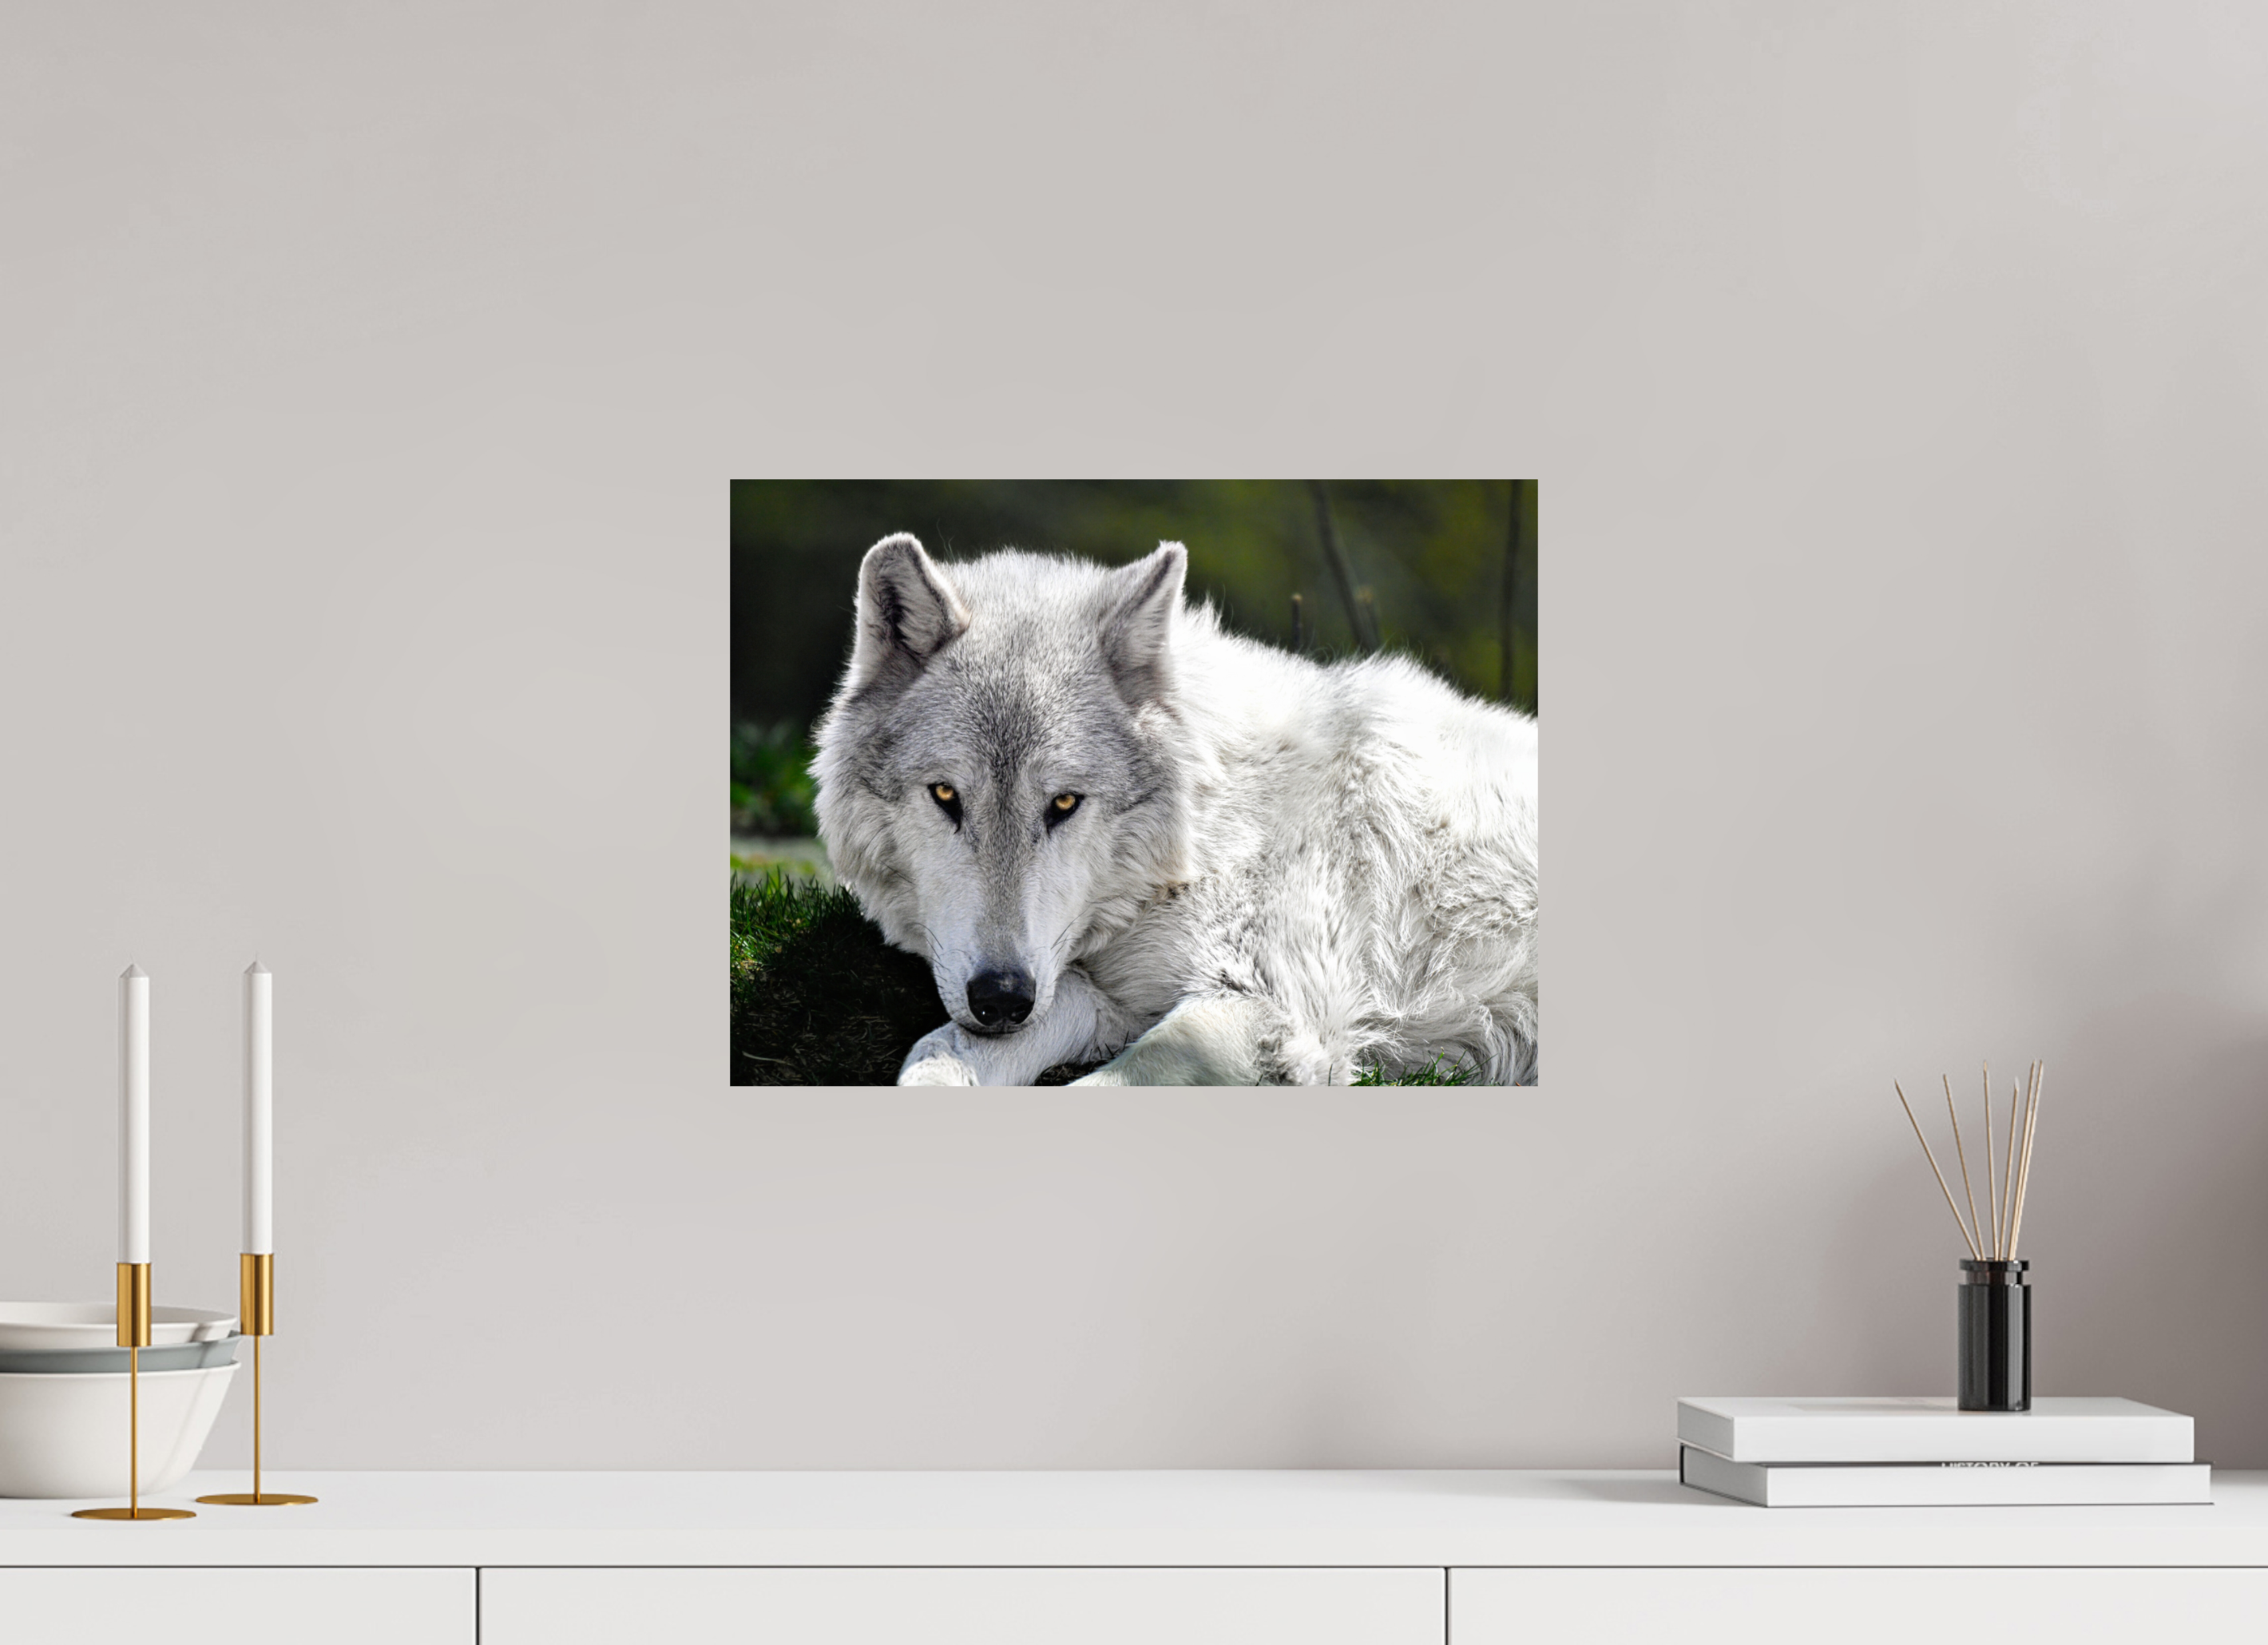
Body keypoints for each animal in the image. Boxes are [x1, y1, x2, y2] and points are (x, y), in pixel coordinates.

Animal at [811, 534, 1538, 1086]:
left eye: (1064, 802)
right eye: (945, 796)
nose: (1001, 999)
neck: (1204, 838)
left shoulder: (1270, 1014)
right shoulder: (1096, 991)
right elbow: (938, 1052)